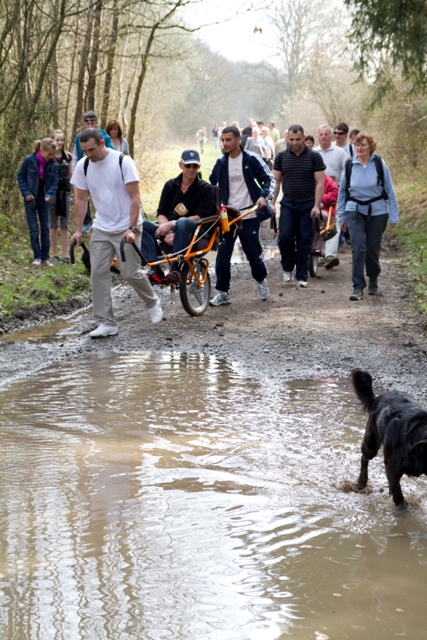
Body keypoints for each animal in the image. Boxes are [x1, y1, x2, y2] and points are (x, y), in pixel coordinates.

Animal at [352, 368, 427, 508]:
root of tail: (378, 397)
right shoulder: (391, 467)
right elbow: (398, 494)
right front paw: (402, 510)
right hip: (371, 445)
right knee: (364, 458)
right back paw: (362, 481)